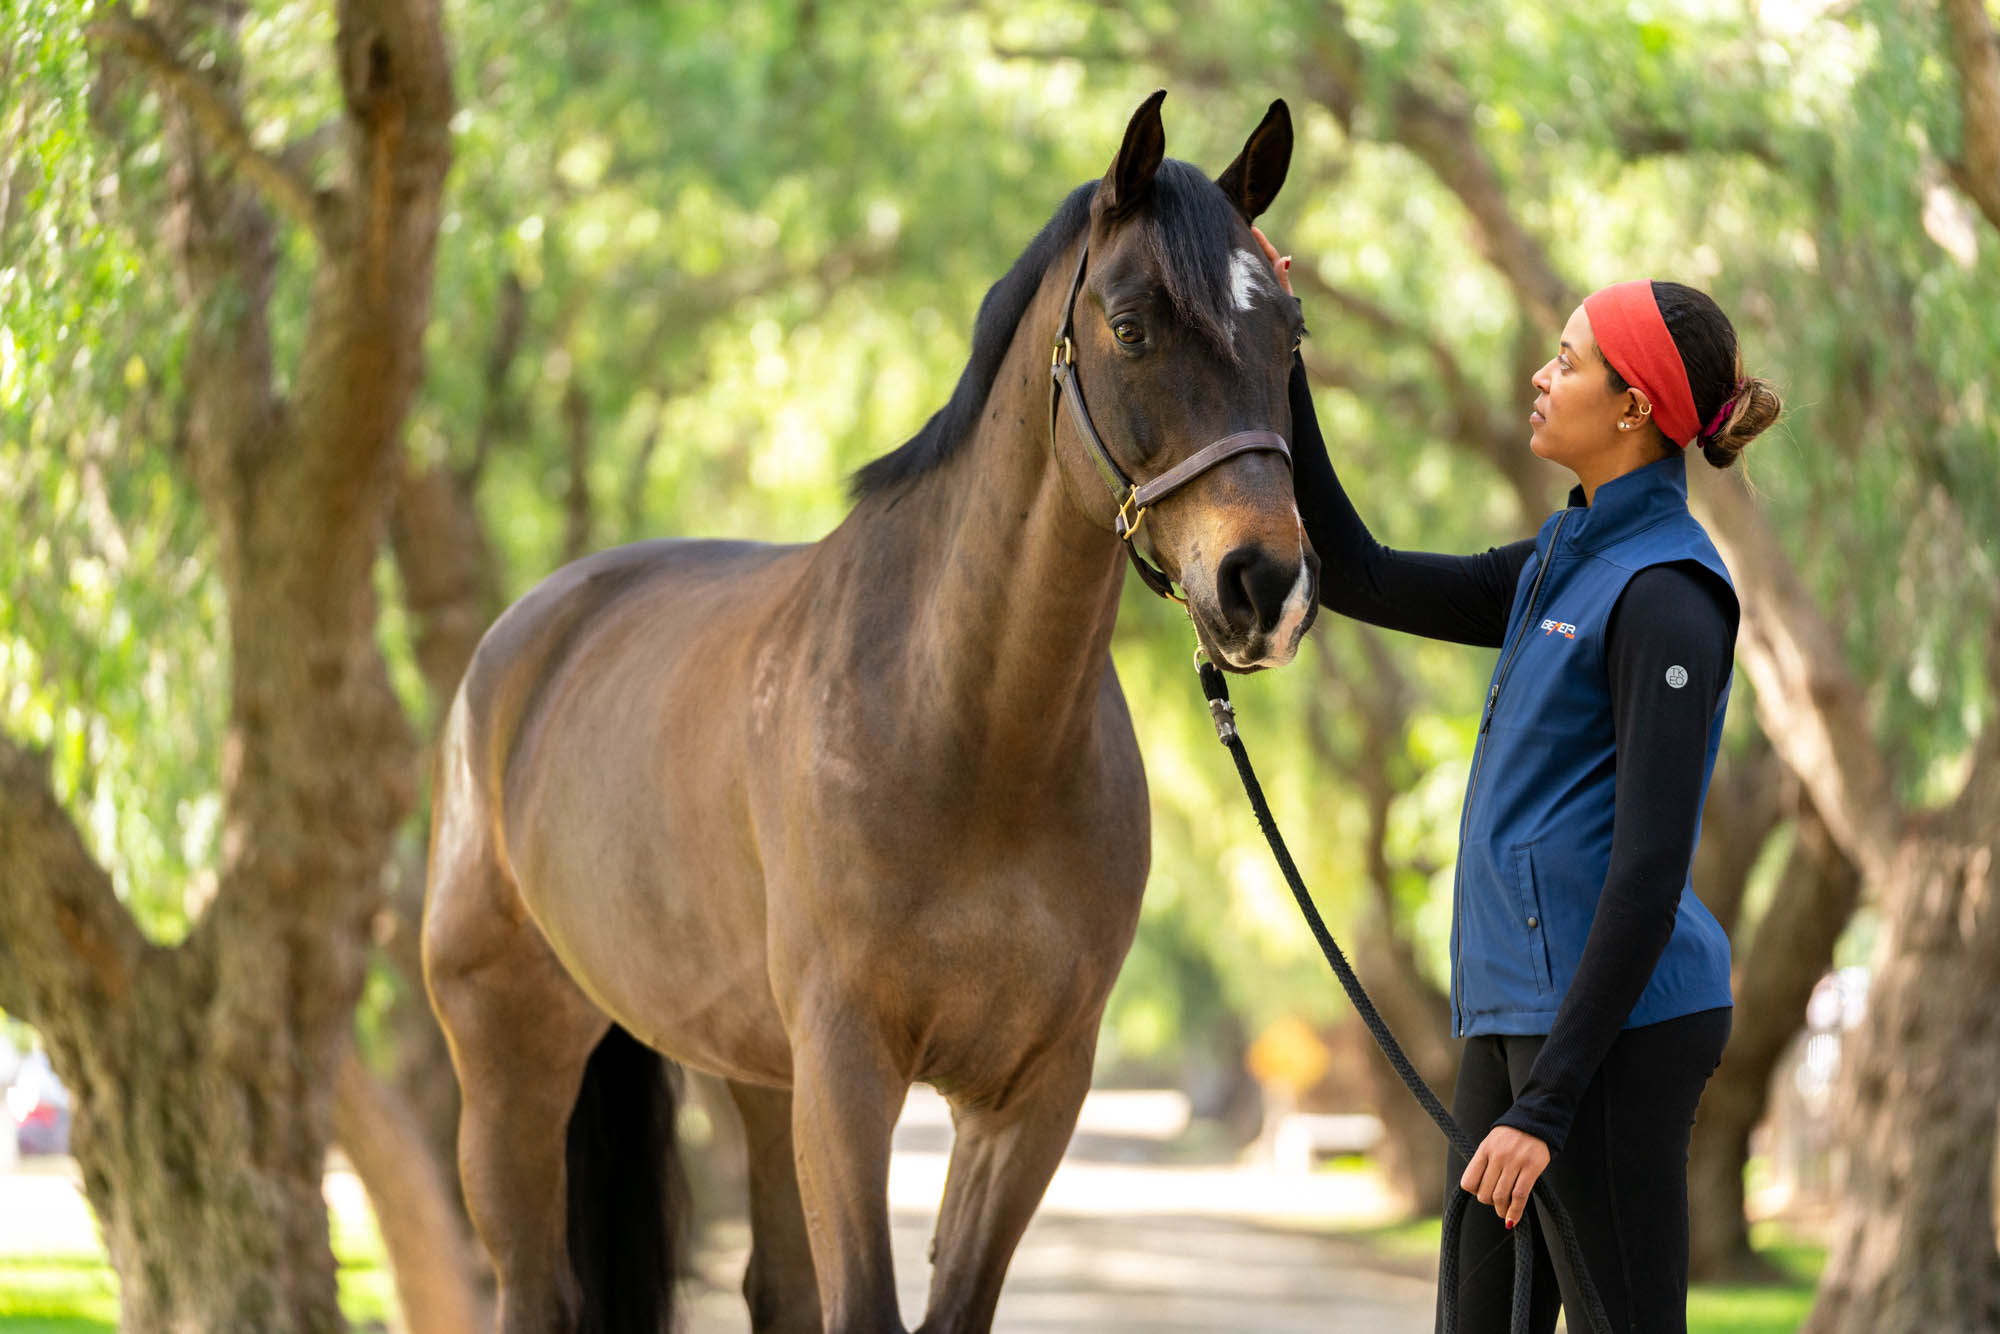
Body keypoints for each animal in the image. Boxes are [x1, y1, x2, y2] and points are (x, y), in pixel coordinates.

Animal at [426, 94, 1312, 1334]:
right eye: (1132, 326)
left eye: (1288, 332)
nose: (1263, 586)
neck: (969, 732)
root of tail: (522, 641)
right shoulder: (848, 1074)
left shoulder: (1031, 1093)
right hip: (508, 1048)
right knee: (532, 1284)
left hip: (756, 1074)